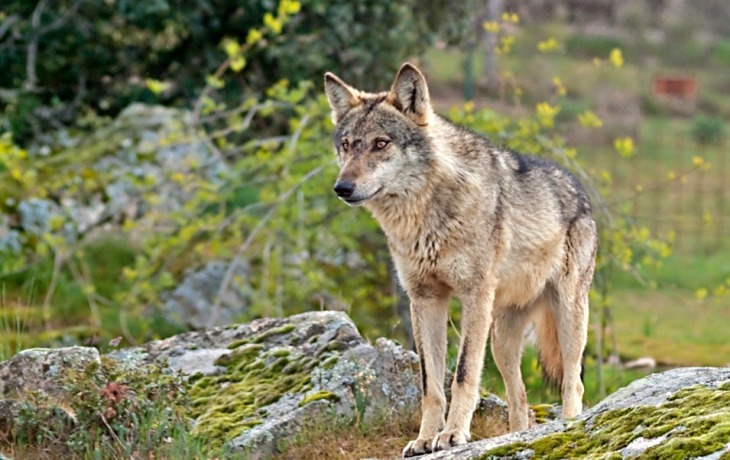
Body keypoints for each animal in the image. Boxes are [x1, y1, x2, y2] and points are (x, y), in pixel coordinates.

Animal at [324, 63, 597, 456]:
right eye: (346, 145)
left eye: (381, 143)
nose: (342, 188)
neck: (425, 216)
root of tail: (580, 189)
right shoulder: (424, 300)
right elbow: (431, 384)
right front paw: (425, 439)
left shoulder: (473, 296)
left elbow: (464, 374)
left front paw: (453, 435)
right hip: (500, 340)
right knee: (520, 398)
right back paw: (516, 438)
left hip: (566, 316)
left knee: (573, 381)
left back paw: (569, 425)